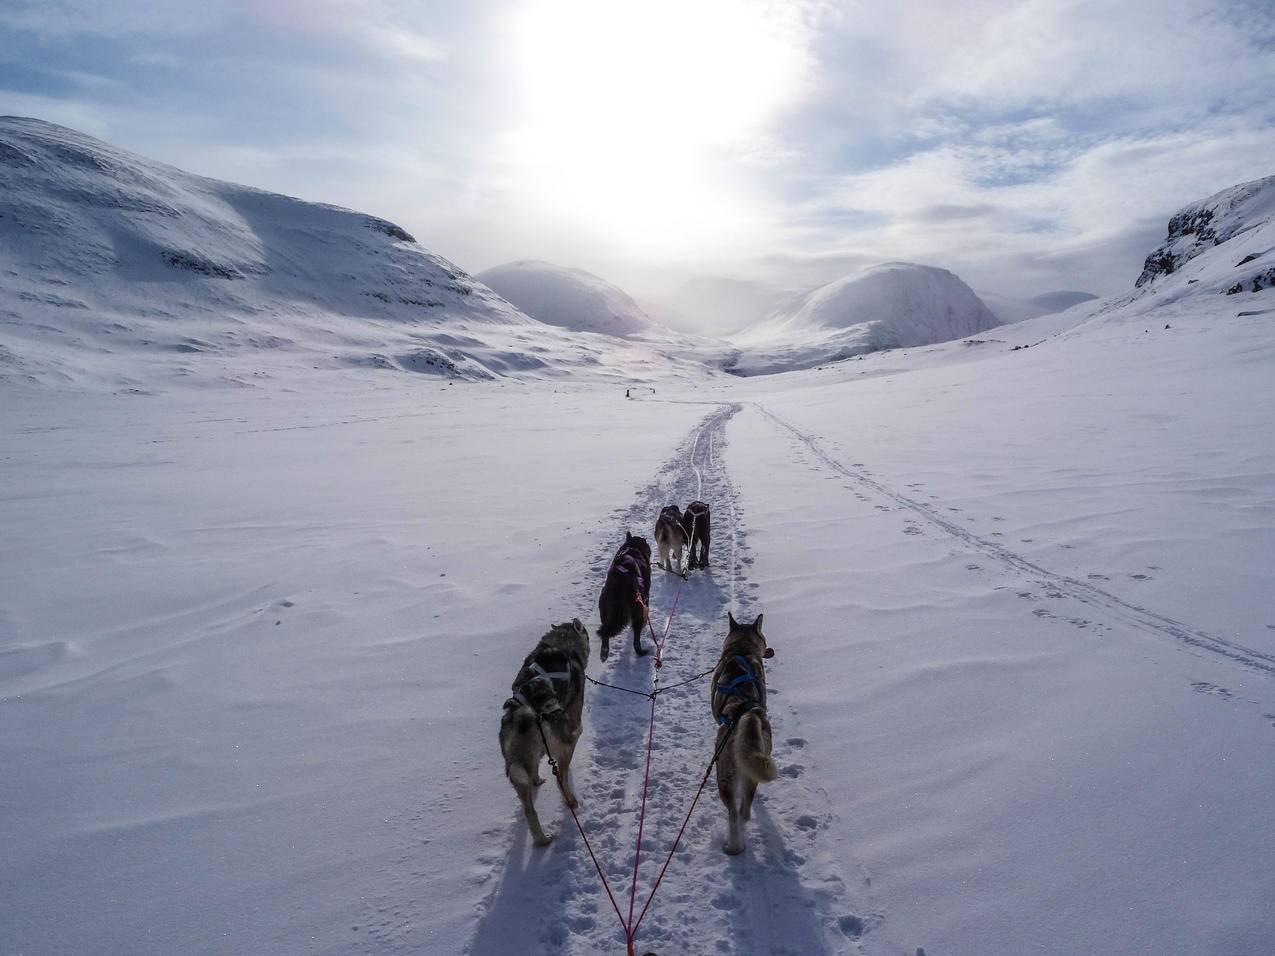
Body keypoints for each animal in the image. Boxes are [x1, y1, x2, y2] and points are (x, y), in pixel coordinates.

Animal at [502, 622, 591, 846]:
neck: (560, 642)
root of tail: (522, 713)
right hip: (564, 747)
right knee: (561, 778)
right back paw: (571, 801)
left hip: (517, 770)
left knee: (529, 810)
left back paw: (541, 839)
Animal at [708, 616, 775, 856]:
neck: (741, 650)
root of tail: (746, 713)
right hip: (760, 759)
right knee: (745, 812)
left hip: (723, 775)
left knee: (734, 814)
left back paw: (733, 846)